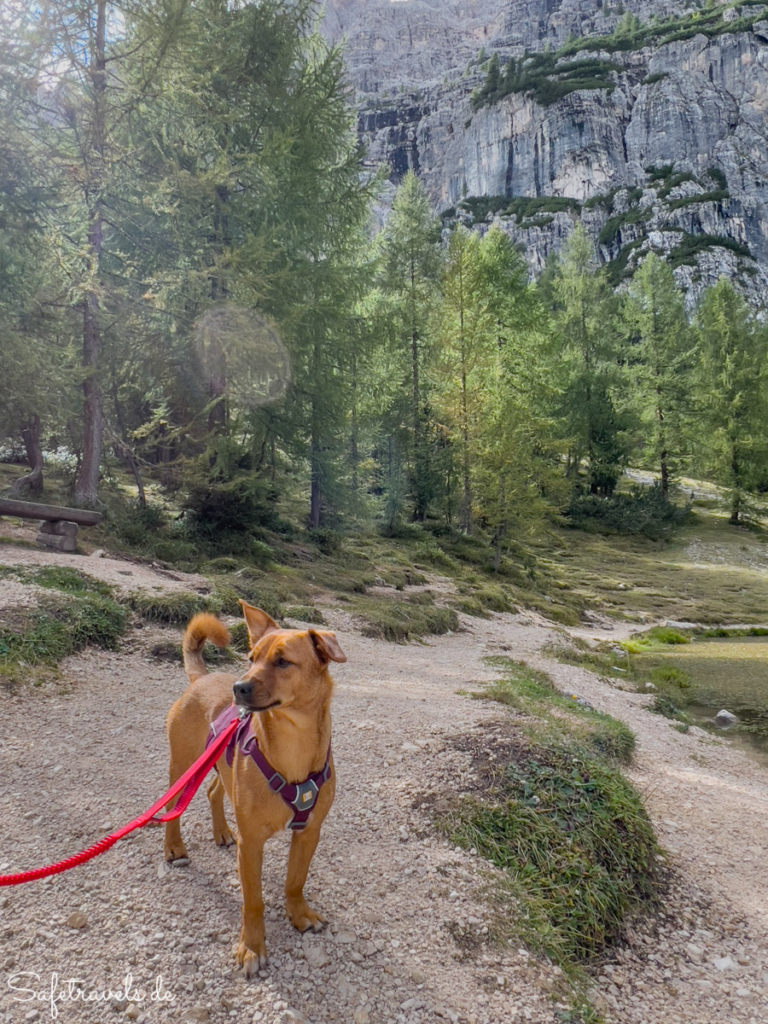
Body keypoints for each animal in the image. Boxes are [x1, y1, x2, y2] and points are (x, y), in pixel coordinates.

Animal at [164, 598, 346, 974]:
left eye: (282, 661)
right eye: (251, 659)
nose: (239, 688)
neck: (293, 743)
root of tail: (202, 678)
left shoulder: (309, 833)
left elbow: (295, 881)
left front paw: (299, 914)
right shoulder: (251, 846)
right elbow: (254, 902)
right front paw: (251, 947)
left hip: (221, 766)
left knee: (214, 792)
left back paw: (221, 832)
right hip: (183, 767)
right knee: (172, 807)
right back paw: (174, 848)